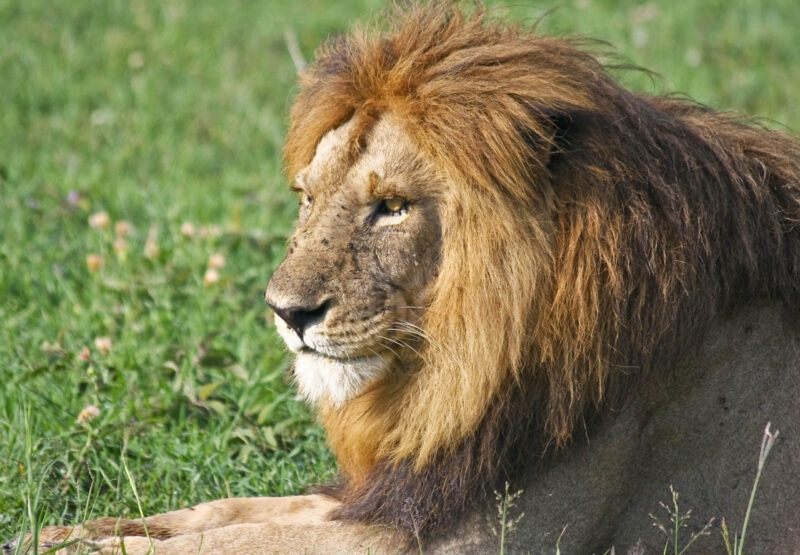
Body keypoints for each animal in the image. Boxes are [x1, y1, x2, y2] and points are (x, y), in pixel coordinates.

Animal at [8, 2, 800, 553]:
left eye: (392, 207)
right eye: (307, 196)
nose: (285, 311)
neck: (462, 363)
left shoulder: (481, 535)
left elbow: (235, 540)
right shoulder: (400, 493)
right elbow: (229, 512)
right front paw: (78, 531)